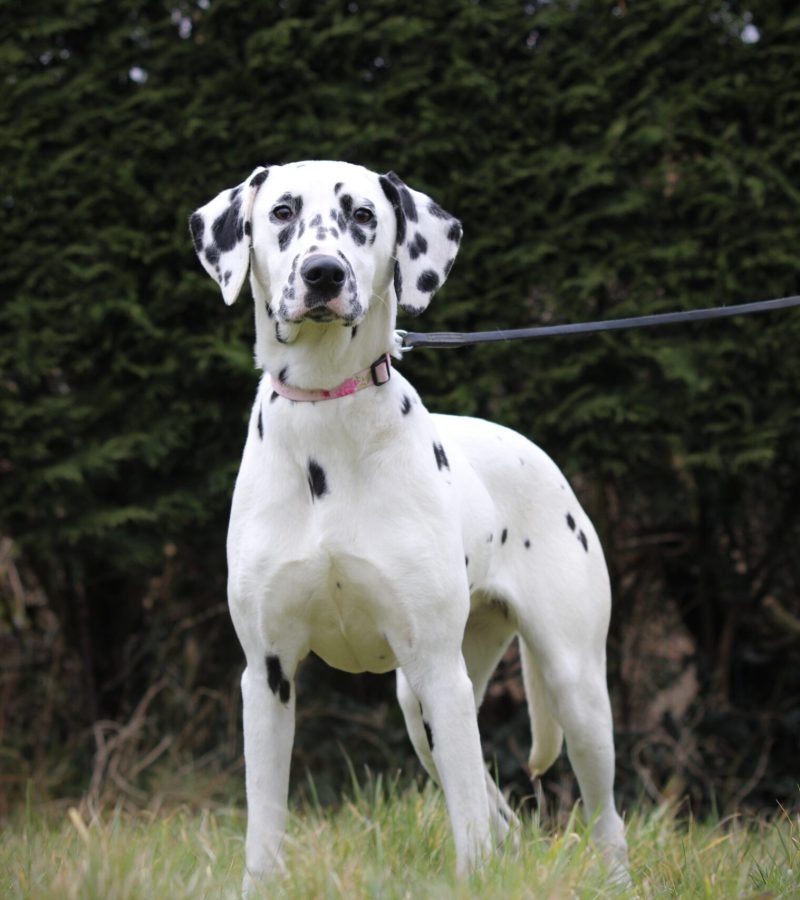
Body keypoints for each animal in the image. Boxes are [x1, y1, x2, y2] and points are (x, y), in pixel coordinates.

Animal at [190, 161, 629, 891]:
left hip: (565, 687)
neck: (327, 417)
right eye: (282, 211)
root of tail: (534, 452)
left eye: (364, 215)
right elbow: (263, 827)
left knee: (600, 816)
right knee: (498, 811)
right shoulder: (267, 673)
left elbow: (470, 829)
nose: (323, 273)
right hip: (418, 709)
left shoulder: (437, 669)